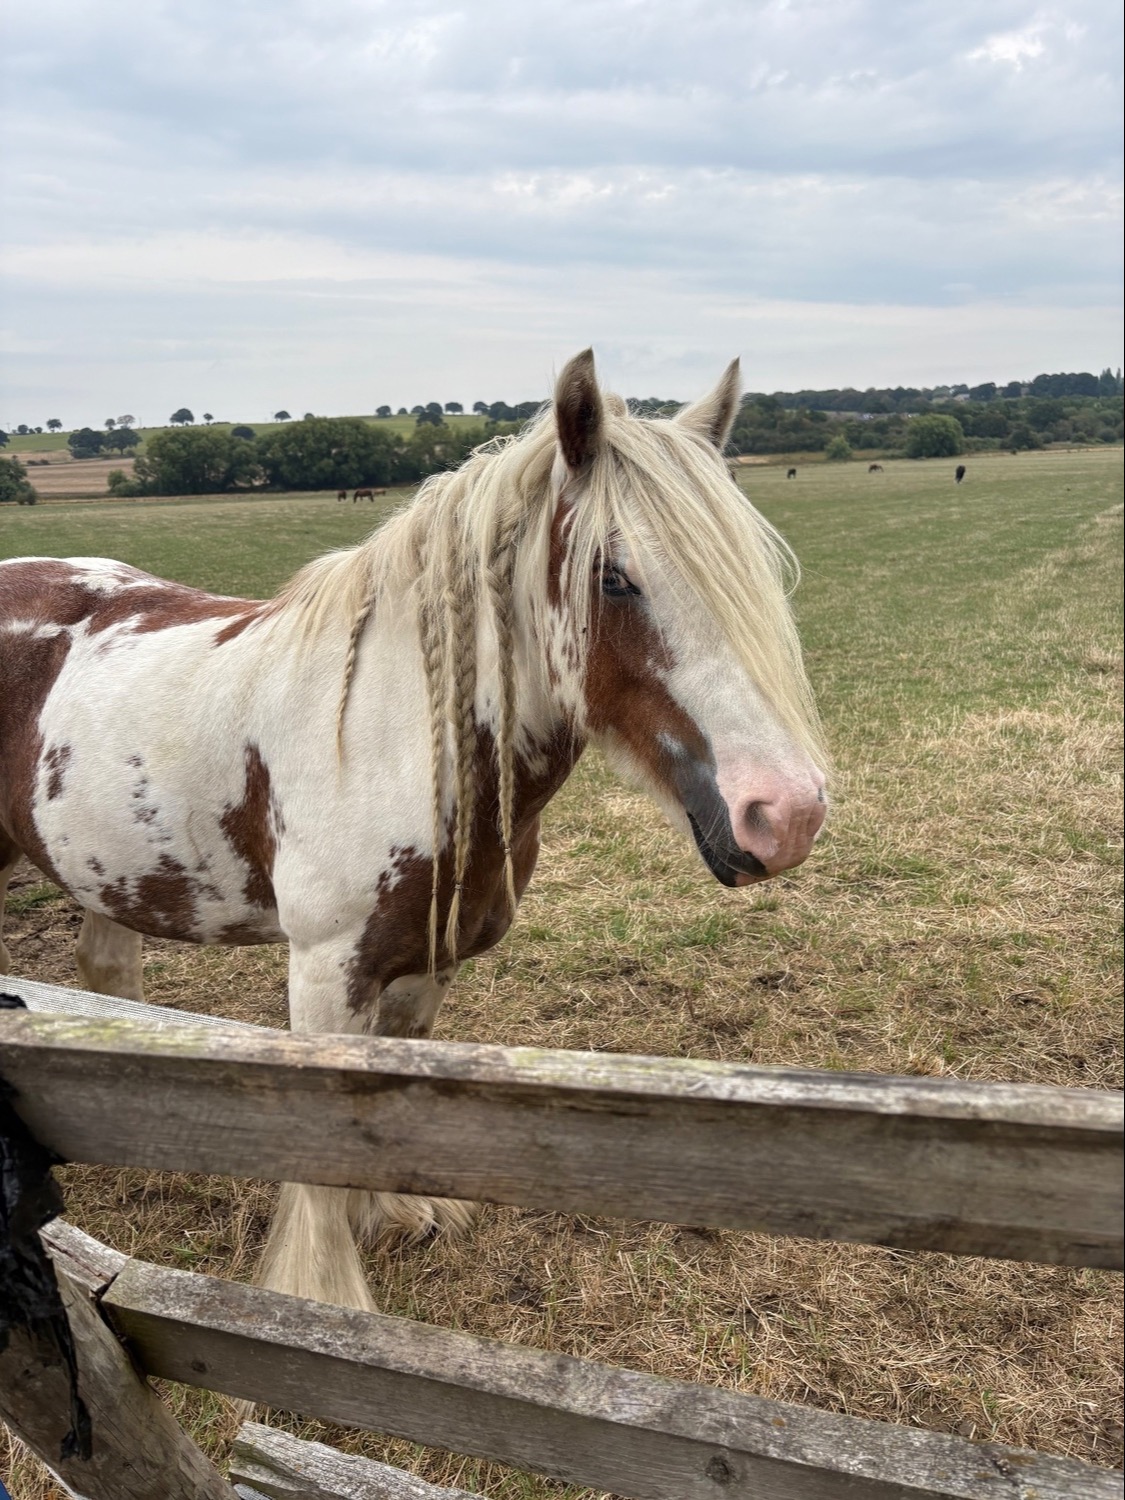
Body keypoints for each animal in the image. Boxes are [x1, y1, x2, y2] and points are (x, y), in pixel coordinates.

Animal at [0, 351, 828, 1312]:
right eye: (611, 576)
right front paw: (321, 1296)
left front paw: (391, 1212)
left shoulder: (430, 961)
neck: (393, 738)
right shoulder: (326, 973)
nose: (787, 812)